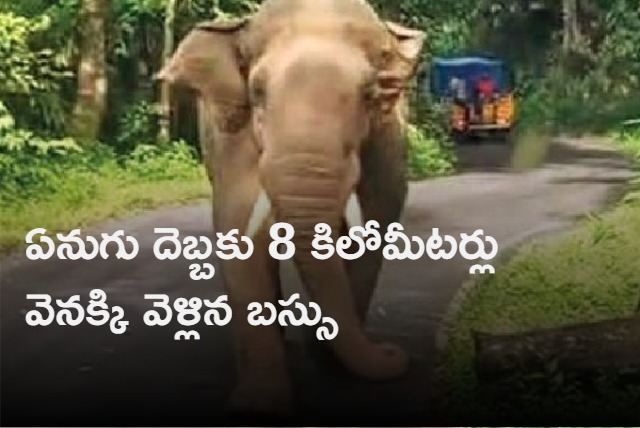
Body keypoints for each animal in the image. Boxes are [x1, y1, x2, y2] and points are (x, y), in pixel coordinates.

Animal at [156, 0, 426, 418]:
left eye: (369, 94)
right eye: (257, 91)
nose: (394, 353)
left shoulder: (386, 143)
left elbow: (374, 223)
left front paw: (332, 363)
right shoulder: (235, 138)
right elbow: (238, 228)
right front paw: (258, 407)